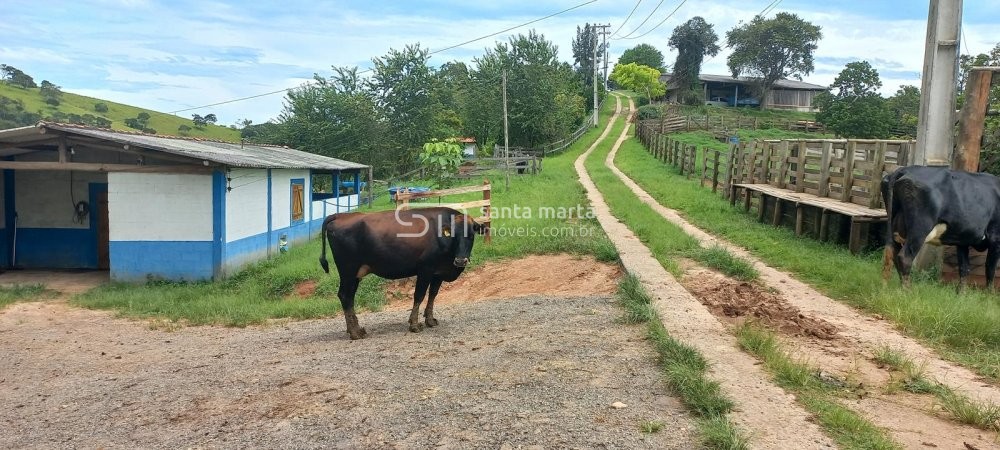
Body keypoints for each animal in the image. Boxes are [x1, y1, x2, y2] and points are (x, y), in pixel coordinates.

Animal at [316, 206, 480, 340]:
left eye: (471, 235)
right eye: (454, 236)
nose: (460, 261)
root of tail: (340, 215)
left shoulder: (438, 273)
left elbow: (433, 295)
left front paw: (430, 320)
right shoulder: (425, 269)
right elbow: (419, 296)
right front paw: (414, 325)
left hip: (355, 274)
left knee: (349, 298)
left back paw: (356, 329)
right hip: (347, 271)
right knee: (344, 296)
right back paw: (354, 333)